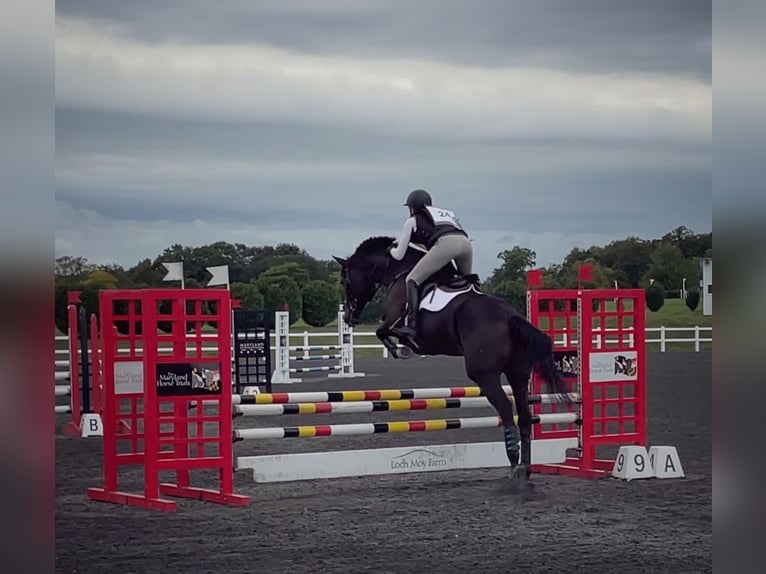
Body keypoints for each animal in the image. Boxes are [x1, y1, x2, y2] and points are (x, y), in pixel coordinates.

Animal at [332, 236, 572, 488]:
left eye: (344, 281)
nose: (349, 317)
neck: (398, 270)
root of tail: (510, 316)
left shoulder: (394, 321)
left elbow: (384, 332)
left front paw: (401, 350)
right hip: (518, 375)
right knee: (524, 416)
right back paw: (525, 468)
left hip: (484, 376)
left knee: (506, 411)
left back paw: (514, 465)